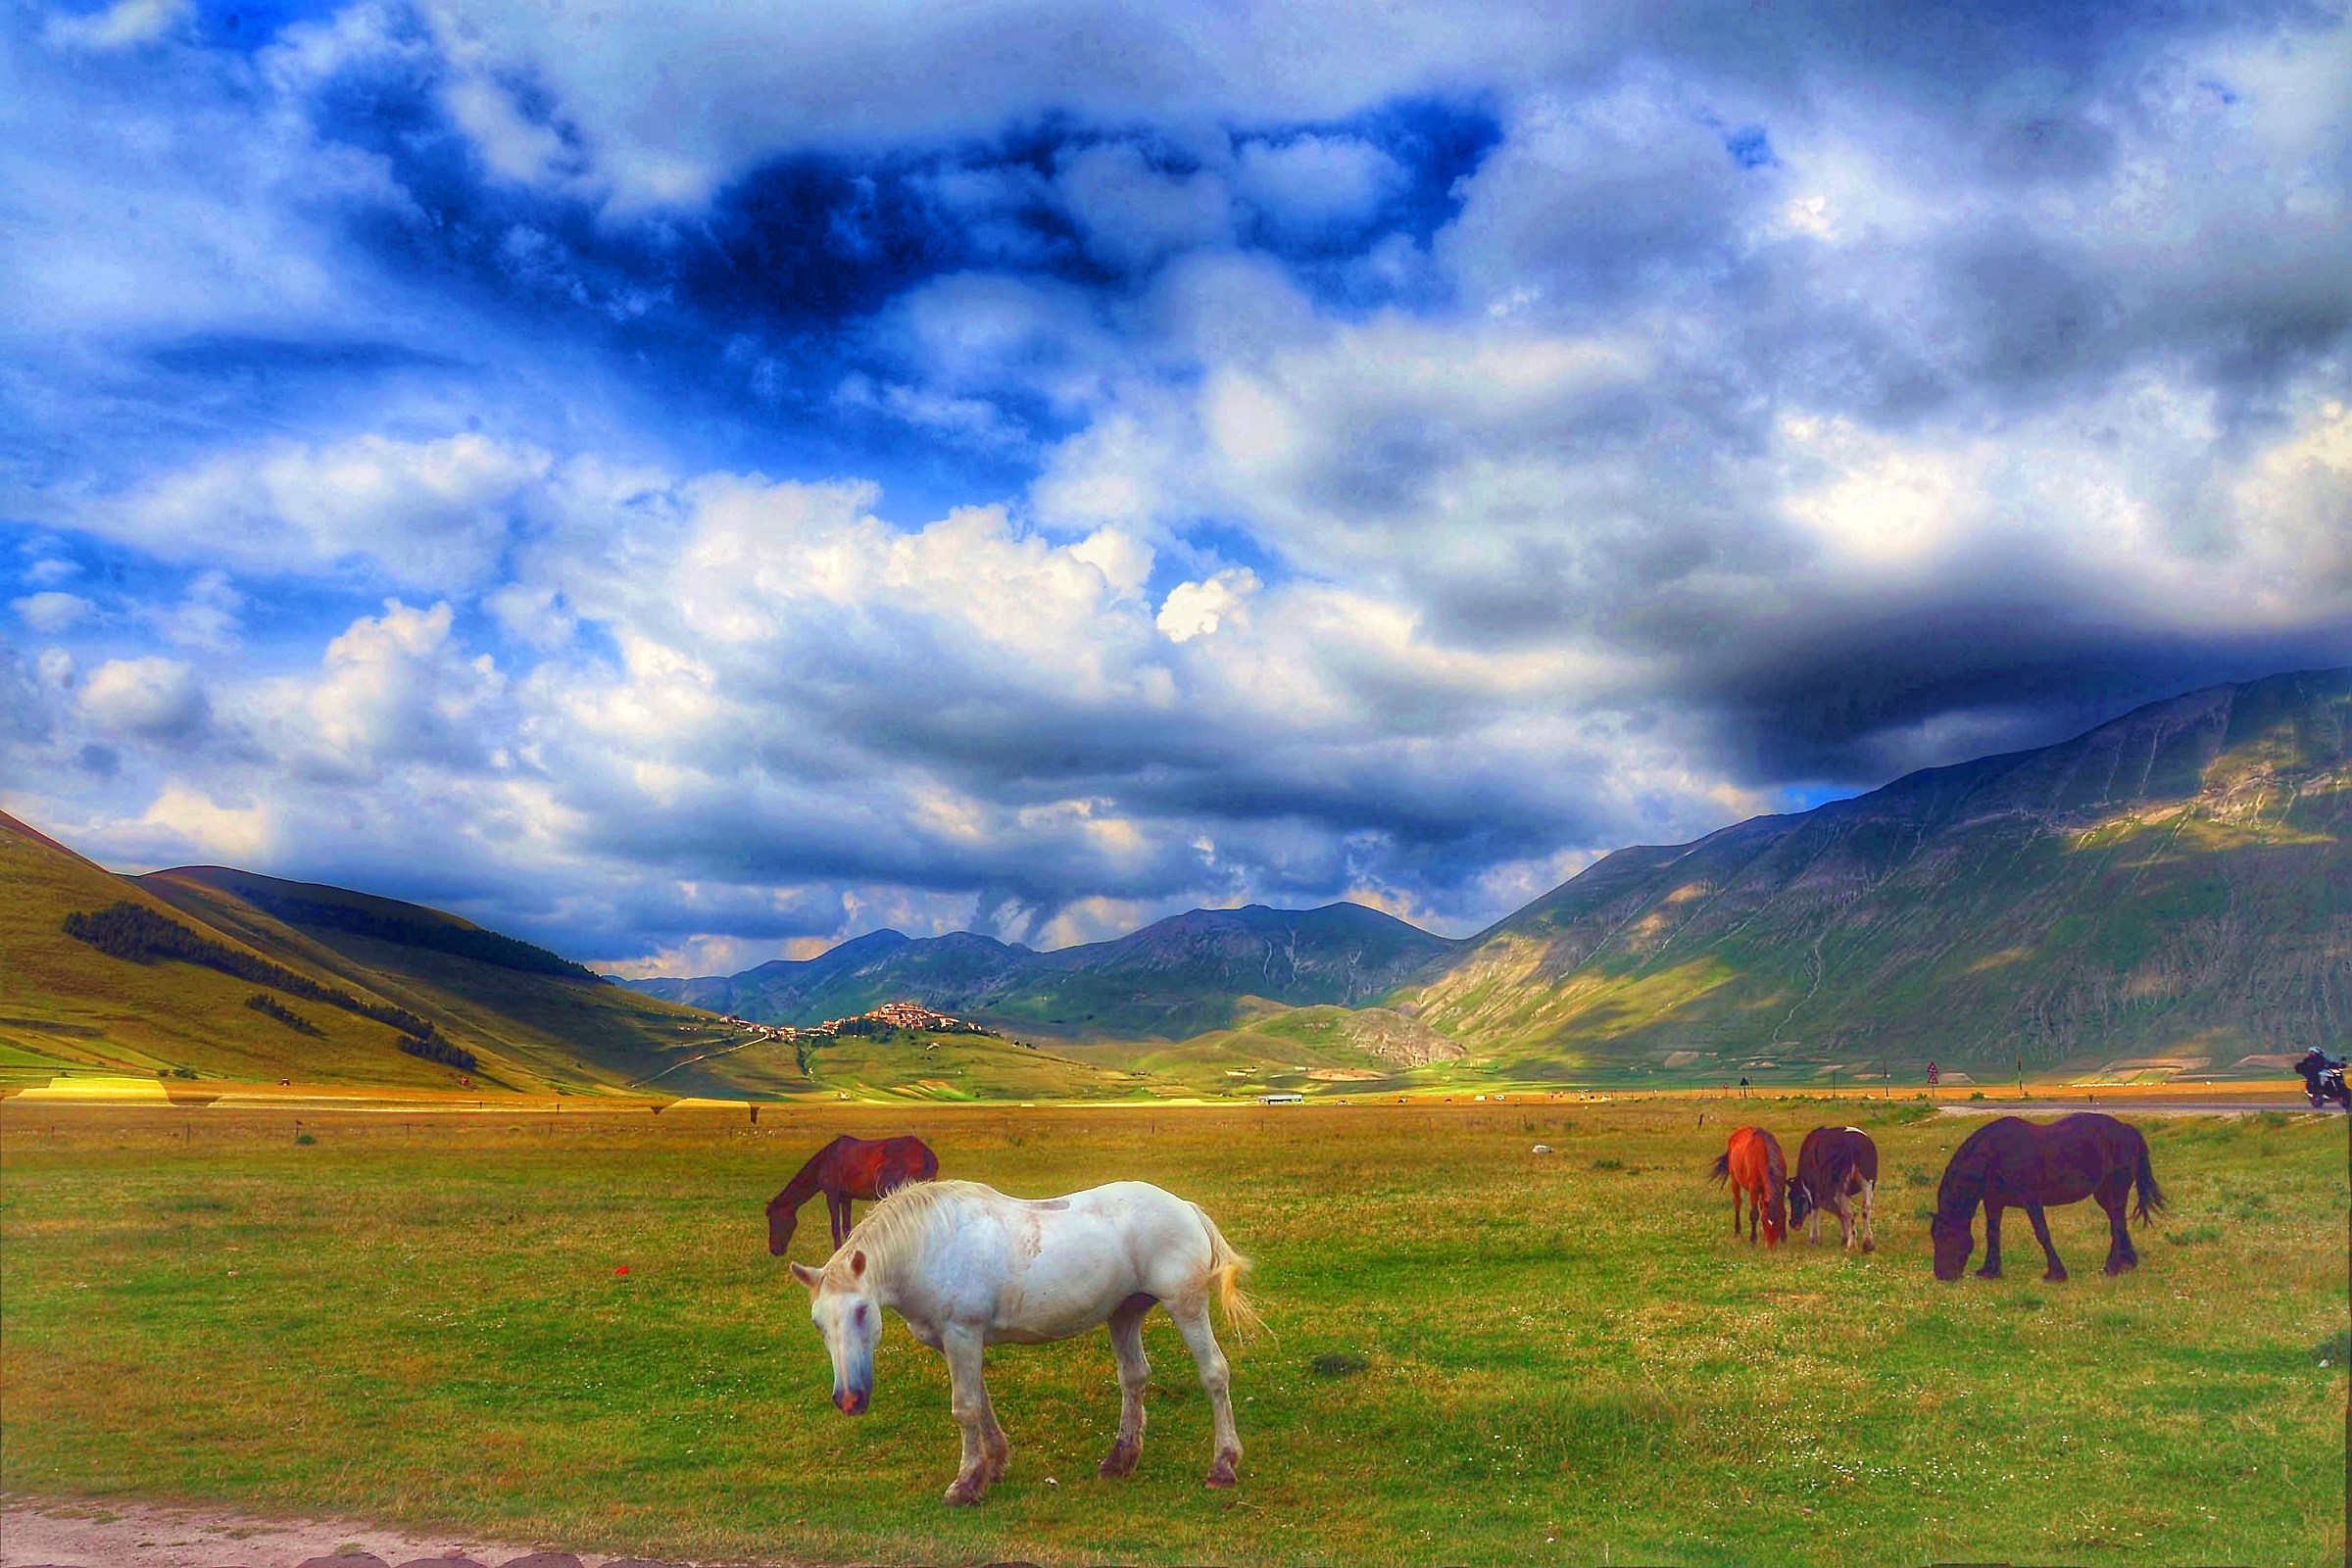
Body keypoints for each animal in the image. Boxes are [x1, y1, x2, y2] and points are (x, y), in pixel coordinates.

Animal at [766, 1133, 939, 1257]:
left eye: (773, 1220)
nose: (774, 1250)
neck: (827, 1159)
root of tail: (926, 1154)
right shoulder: (846, 1198)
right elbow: (846, 1227)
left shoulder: (832, 1195)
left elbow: (835, 1228)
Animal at [788, 1178, 1259, 1505]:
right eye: (817, 1324)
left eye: (861, 1311)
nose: (848, 1400)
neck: (929, 1247)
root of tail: (1184, 1207)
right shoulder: (956, 1340)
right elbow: (980, 1402)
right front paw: (992, 1465)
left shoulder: (962, 1333)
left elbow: (965, 1408)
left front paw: (965, 1483)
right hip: (1125, 1312)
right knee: (1134, 1378)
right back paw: (1120, 1459)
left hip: (1186, 1305)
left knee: (1214, 1374)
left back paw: (1222, 1464)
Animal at [1788, 1125, 1878, 1252]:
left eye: (1792, 1197)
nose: (1792, 1222)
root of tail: (1852, 1143)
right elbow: (1838, 1212)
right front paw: (1844, 1237)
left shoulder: (1813, 1191)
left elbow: (1815, 1212)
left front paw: (1814, 1239)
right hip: (1867, 1183)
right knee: (1865, 1208)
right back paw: (1868, 1243)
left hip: (1841, 1188)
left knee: (1849, 1212)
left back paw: (1851, 1244)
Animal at [1929, 1113, 2165, 1282]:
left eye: (1945, 1236)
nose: (1942, 1275)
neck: (1994, 1155)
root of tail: (2126, 1130)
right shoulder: (1993, 1202)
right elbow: (1992, 1234)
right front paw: (1990, 1271)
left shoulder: (2031, 1200)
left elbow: (2042, 1234)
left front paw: (2056, 1273)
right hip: (2104, 1193)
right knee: (2118, 1222)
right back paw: (2127, 1262)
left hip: (2115, 1190)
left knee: (2116, 1224)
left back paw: (2112, 1267)